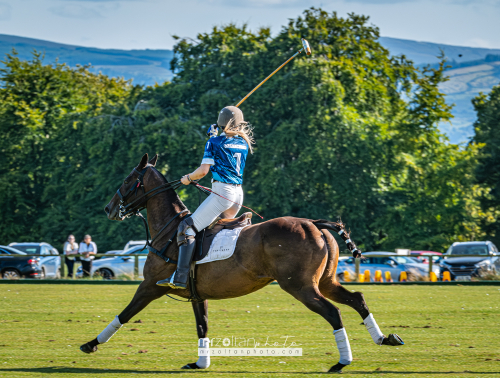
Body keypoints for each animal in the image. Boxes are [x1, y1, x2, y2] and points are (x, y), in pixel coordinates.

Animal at [80, 153, 404, 372]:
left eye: (127, 181)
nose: (108, 208)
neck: (169, 230)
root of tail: (313, 223)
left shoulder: (150, 285)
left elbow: (124, 314)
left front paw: (91, 344)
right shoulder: (196, 294)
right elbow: (202, 326)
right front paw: (200, 363)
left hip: (299, 286)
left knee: (333, 312)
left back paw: (342, 361)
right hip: (325, 281)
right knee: (356, 298)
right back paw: (384, 339)